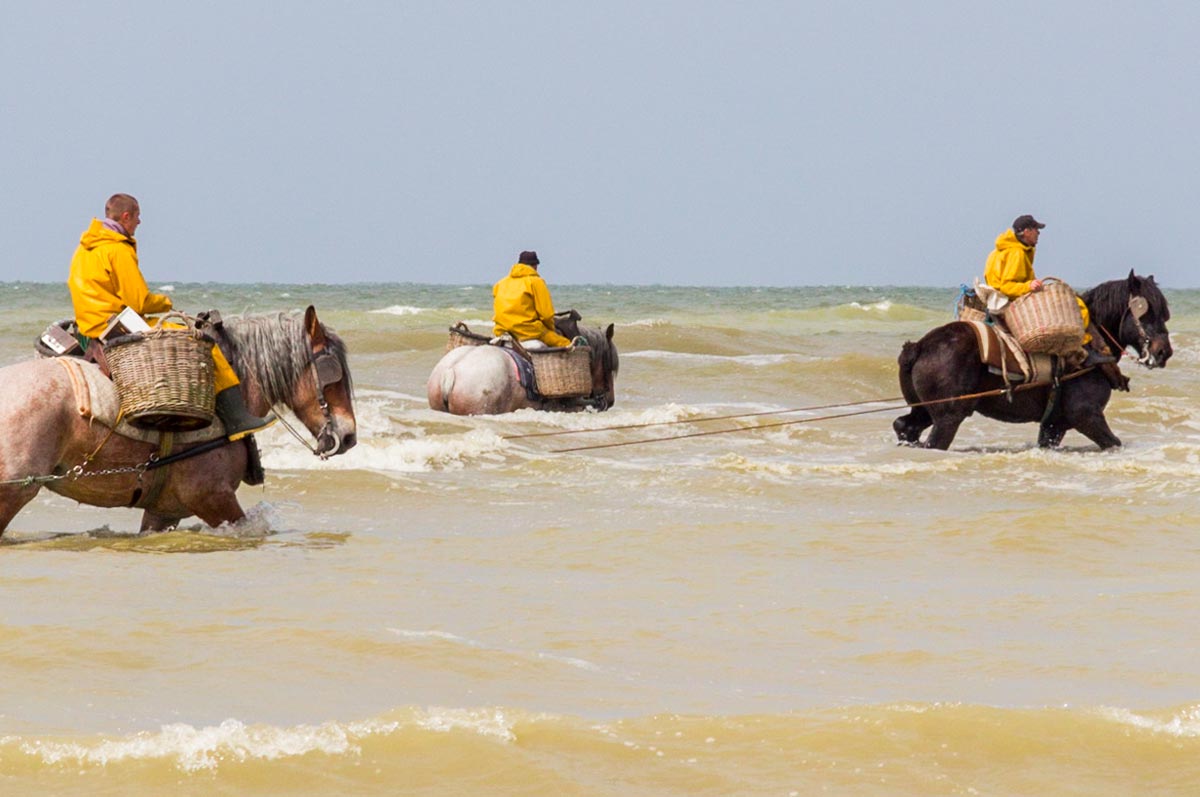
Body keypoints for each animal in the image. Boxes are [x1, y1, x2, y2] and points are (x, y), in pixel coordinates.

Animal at [892, 272, 1171, 448]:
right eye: (1147, 311)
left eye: (1164, 313)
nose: (1163, 352)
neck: (1091, 343)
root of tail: (919, 346)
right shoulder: (1086, 416)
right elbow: (1114, 443)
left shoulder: (1055, 425)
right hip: (948, 418)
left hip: (924, 411)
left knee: (904, 426)